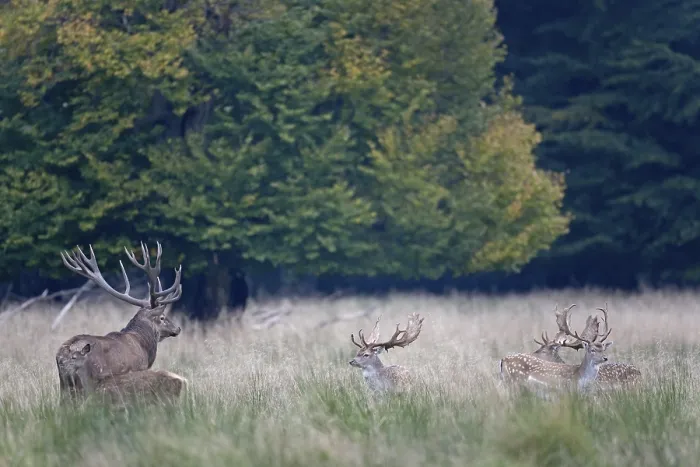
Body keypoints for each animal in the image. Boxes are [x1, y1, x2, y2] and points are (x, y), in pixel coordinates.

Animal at [55, 242, 183, 399]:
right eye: (162, 317)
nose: (177, 328)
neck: (144, 346)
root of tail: (62, 356)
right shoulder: (137, 369)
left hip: (64, 385)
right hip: (88, 380)